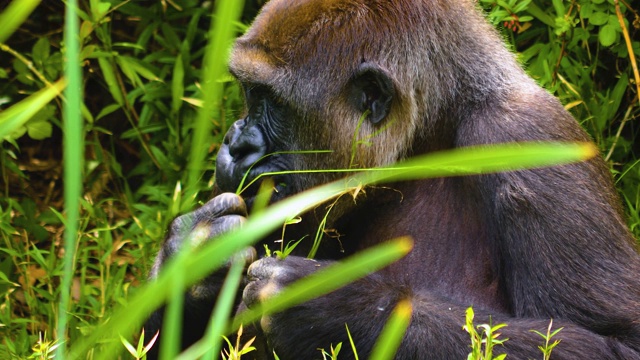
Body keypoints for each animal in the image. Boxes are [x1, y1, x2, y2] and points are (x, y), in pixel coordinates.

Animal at [144, 1, 640, 358]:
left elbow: (618, 340)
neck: (432, 136)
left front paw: (337, 311)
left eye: (270, 101)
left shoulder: (527, 135)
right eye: (250, 93)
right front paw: (195, 251)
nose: (236, 144)